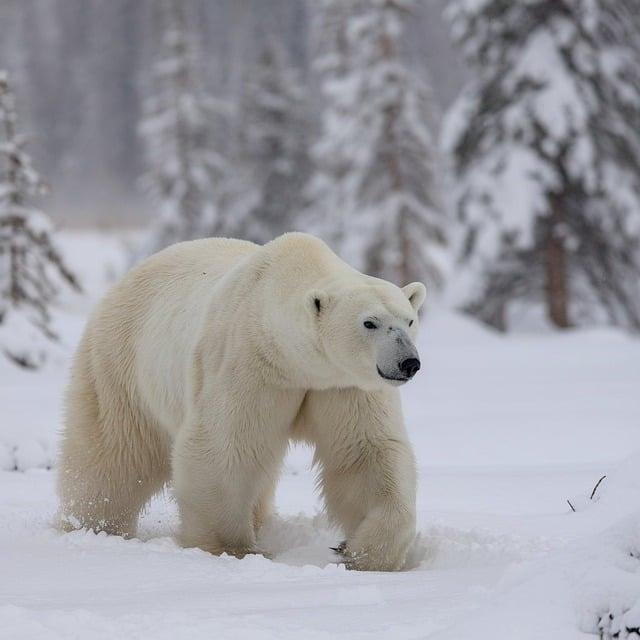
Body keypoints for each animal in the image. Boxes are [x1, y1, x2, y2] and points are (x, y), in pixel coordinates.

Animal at [56, 232, 424, 572]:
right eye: (370, 322)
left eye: (409, 319)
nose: (409, 362)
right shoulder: (247, 363)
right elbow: (224, 448)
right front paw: (232, 548)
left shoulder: (342, 384)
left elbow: (365, 454)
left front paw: (364, 553)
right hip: (121, 363)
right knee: (114, 453)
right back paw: (93, 525)